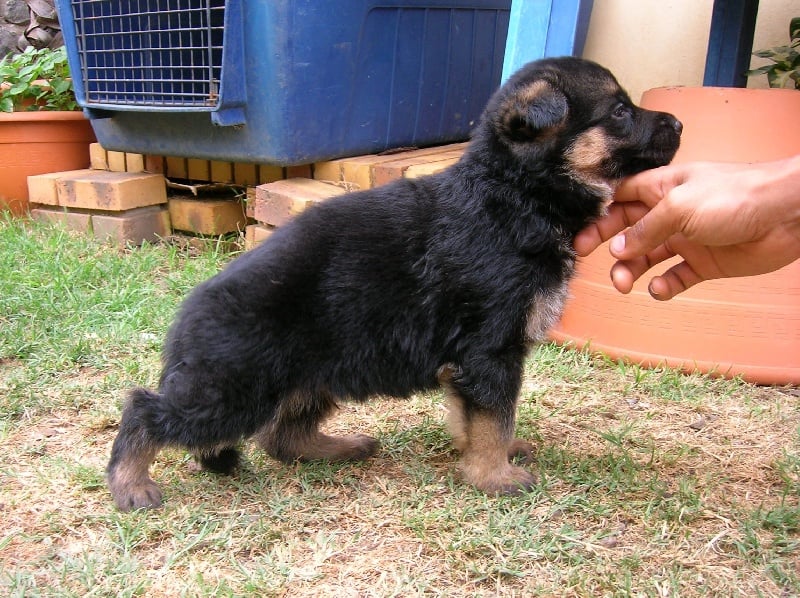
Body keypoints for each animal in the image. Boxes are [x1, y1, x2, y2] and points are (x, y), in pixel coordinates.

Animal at [106, 58, 680, 512]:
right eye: (620, 112)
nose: (677, 121)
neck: (512, 193)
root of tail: (188, 318)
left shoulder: (472, 361)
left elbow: (479, 416)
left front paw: (487, 455)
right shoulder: (490, 351)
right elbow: (493, 415)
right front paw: (494, 475)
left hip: (307, 377)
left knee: (281, 435)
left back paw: (338, 448)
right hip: (234, 388)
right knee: (145, 410)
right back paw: (131, 484)